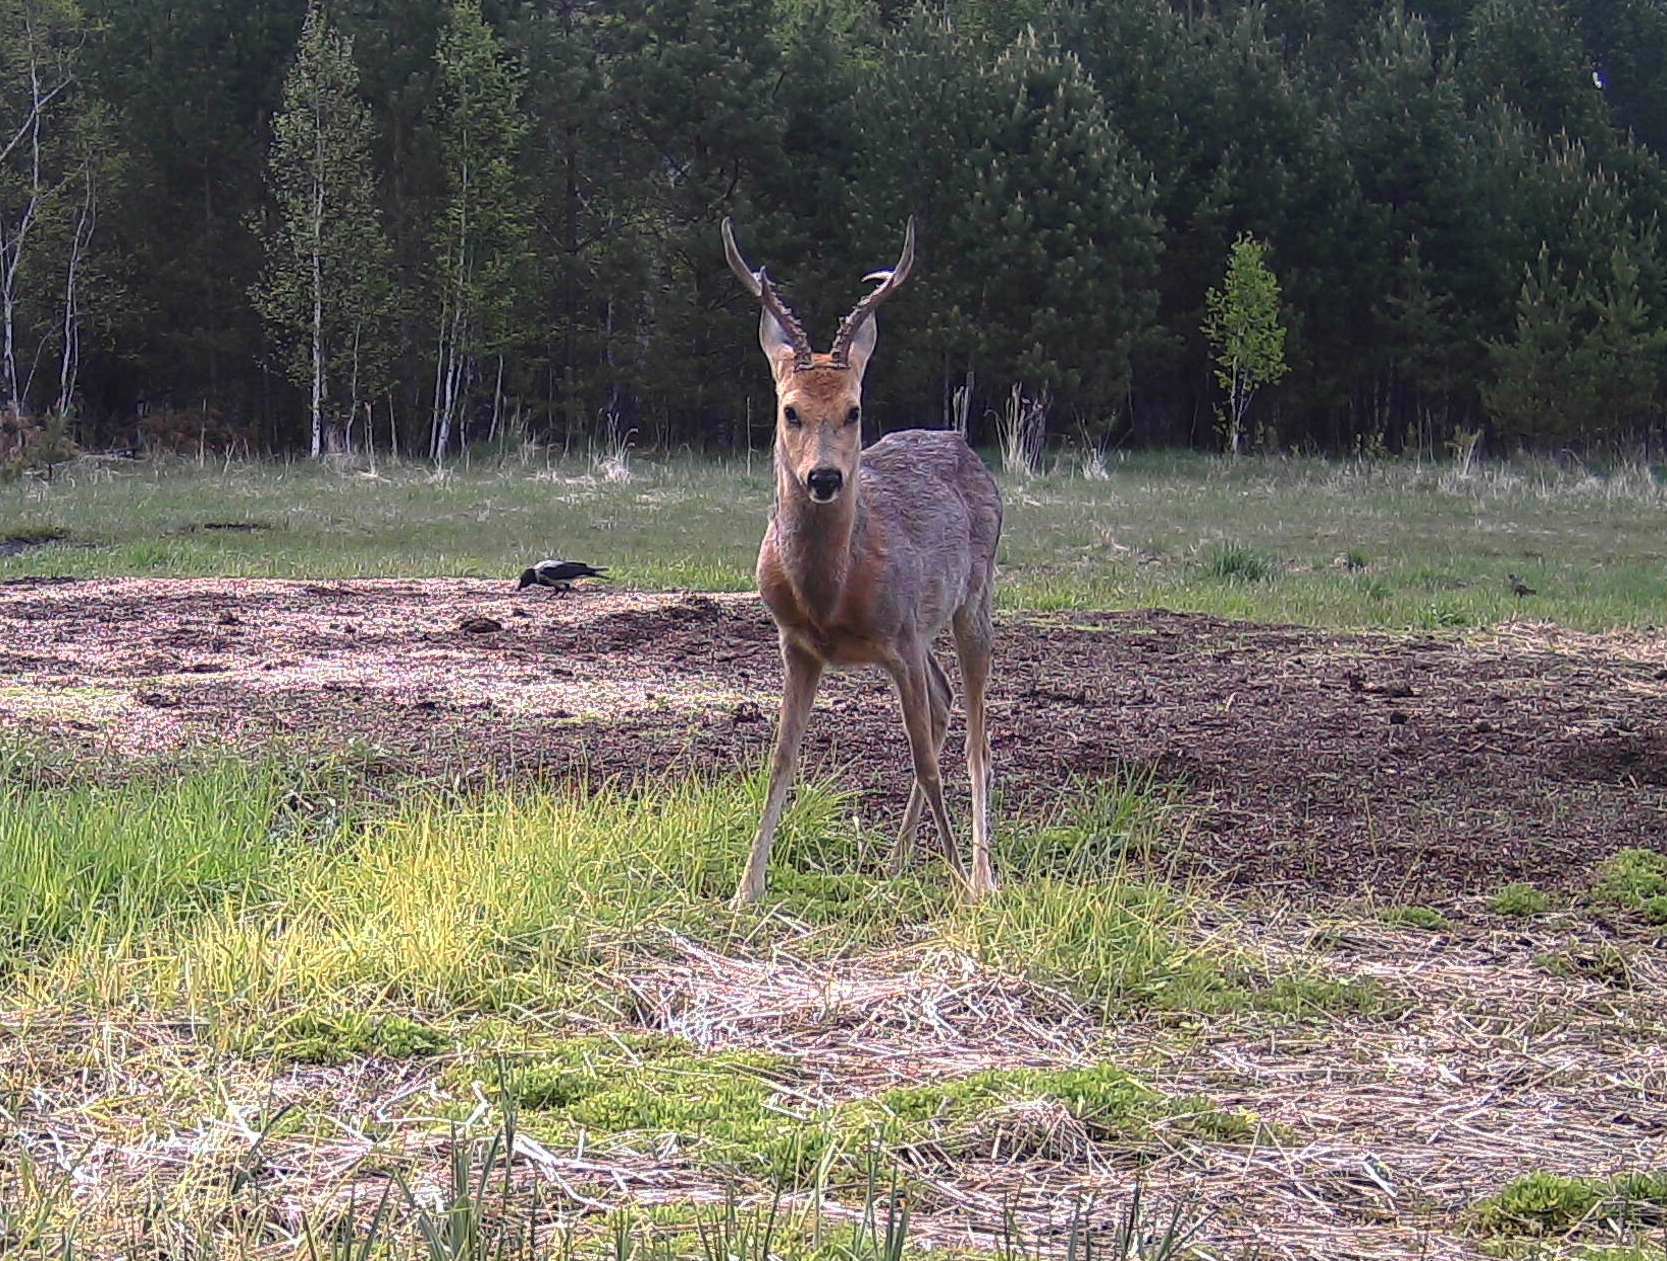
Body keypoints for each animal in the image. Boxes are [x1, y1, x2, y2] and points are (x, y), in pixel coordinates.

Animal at [720, 218, 1000, 907]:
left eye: (854, 410)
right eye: (789, 409)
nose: (824, 477)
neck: (830, 593)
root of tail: (963, 445)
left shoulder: (897, 639)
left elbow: (926, 760)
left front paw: (960, 880)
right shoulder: (797, 644)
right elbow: (781, 758)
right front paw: (746, 890)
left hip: (973, 597)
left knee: (977, 730)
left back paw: (982, 876)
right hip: (924, 631)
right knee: (945, 700)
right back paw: (897, 862)